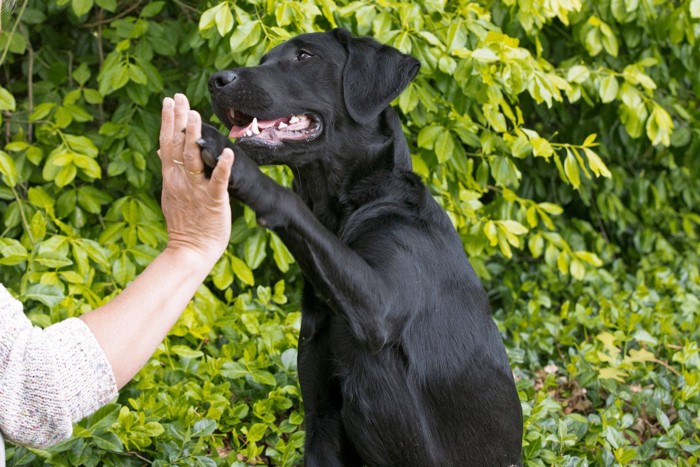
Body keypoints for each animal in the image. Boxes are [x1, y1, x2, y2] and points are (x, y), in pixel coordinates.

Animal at [196, 28, 520, 464]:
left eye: (303, 56)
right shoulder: (320, 417)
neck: (353, 205)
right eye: (263, 60)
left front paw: (229, 158)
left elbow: (290, 203)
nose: (216, 80)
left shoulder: (379, 303)